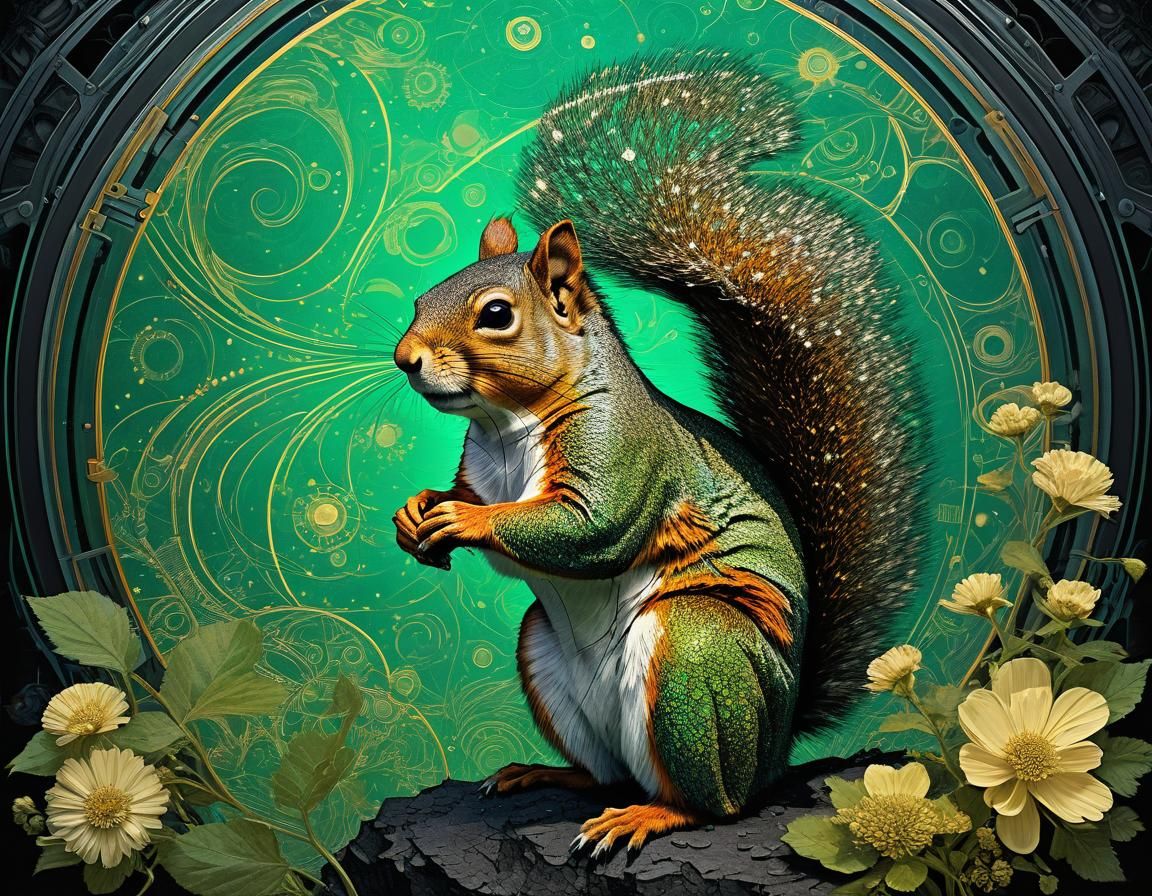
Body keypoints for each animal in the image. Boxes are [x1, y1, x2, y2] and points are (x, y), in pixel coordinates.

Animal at [392, 50, 926, 857]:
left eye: (496, 315)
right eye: (423, 298)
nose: (405, 359)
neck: (506, 425)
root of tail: (778, 746)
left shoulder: (625, 457)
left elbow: (589, 527)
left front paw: (467, 525)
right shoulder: (480, 468)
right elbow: (464, 494)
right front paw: (416, 512)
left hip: (696, 657)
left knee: (715, 802)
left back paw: (650, 815)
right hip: (545, 657)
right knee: (607, 772)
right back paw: (547, 774)